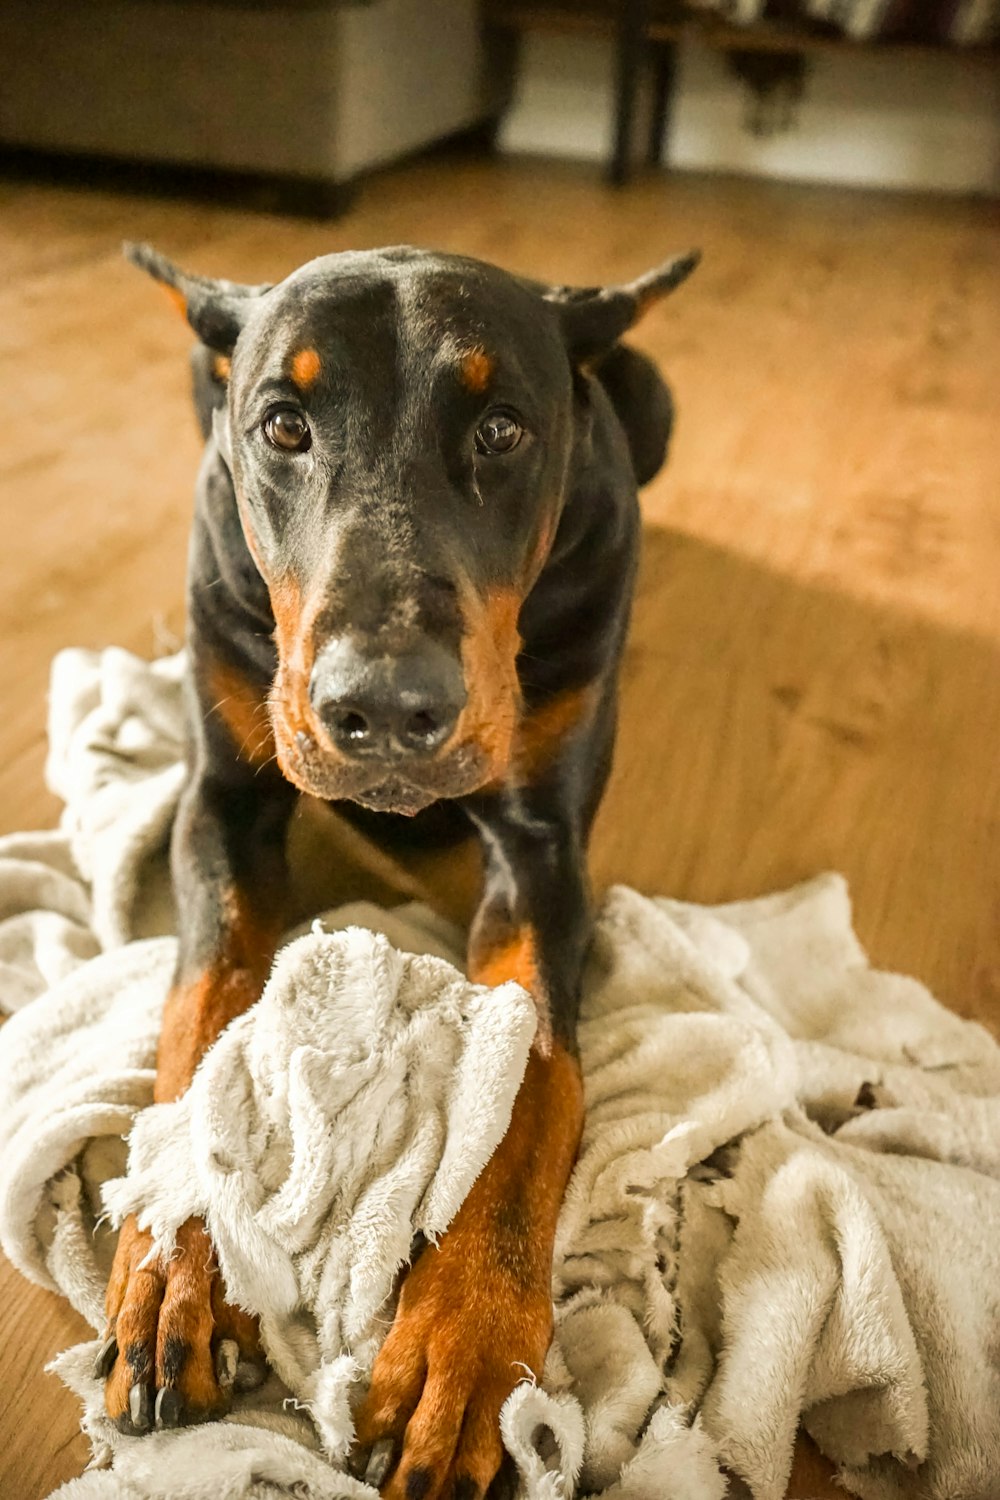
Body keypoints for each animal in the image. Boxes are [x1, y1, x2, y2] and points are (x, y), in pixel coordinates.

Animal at [97, 243, 701, 1500]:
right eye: (283, 425)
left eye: (504, 429)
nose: (381, 709)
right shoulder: (219, 805)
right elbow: (206, 1013)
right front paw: (176, 1269)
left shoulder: (542, 851)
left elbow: (528, 1081)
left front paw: (461, 1350)